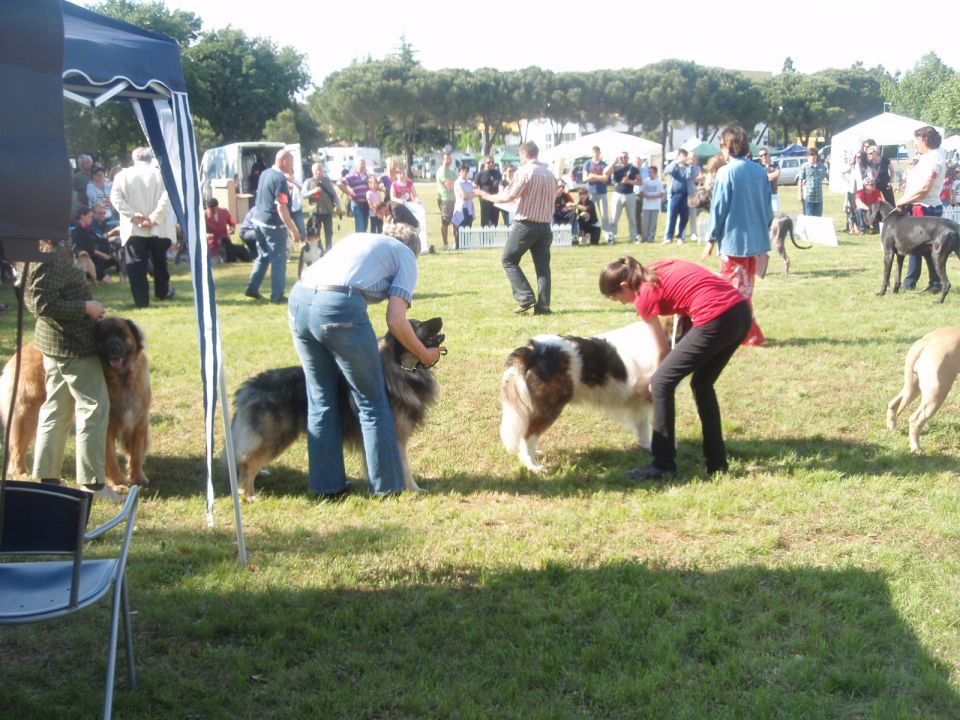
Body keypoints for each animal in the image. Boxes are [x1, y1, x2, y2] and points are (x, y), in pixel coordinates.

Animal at [0, 318, 151, 486]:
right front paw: (118, 482)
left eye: (122, 333)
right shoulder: (105, 428)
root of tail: (20, 353)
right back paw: (21, 473)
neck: (122, 379)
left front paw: (138, 478)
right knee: (17, 446)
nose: (114, 349)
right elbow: (110, 457)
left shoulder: (139, 422)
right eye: (103, 336)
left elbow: (136, 454)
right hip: (27, 414)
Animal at [231, 318, 444, 498]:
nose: (440, 318)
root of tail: (248, 388)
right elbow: (404, 466)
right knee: (246, 463)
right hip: (274, 439)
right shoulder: (396, 436)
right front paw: (414, 490)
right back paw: (248, 494)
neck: (399, 370)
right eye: (417, 326)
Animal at [498, 322, 664, 472]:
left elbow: (642, 426)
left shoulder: (639, 402)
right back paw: (533, 466)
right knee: (529, 435)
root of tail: (534, 349)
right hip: (550, 406)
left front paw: (647, 446)